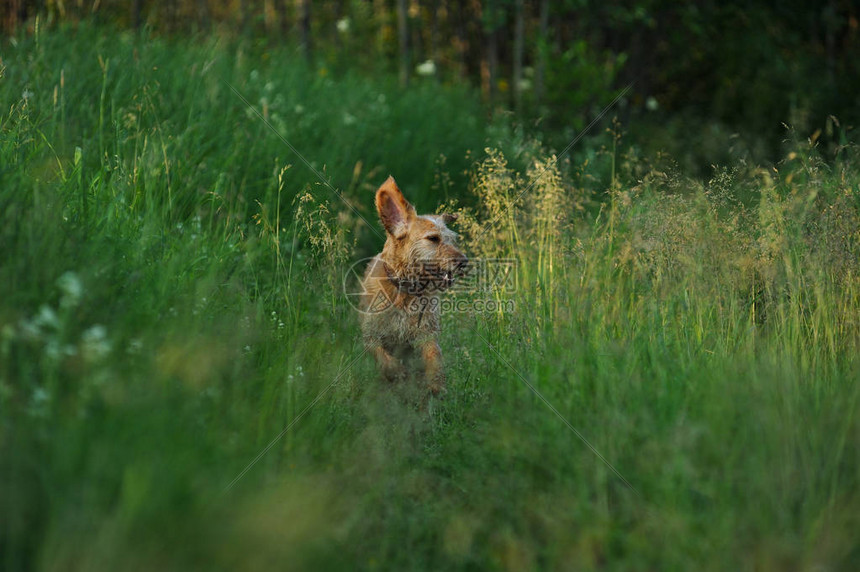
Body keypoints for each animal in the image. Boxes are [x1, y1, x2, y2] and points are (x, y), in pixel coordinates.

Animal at [358, 177, 466, 396]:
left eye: (453, 240)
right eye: (433, 238)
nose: (464, 262)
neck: (404, 291)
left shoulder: (426, 333)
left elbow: (433, 356)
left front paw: (436, 384)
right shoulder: (371, 335)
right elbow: (382, 356)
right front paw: (396, 372)